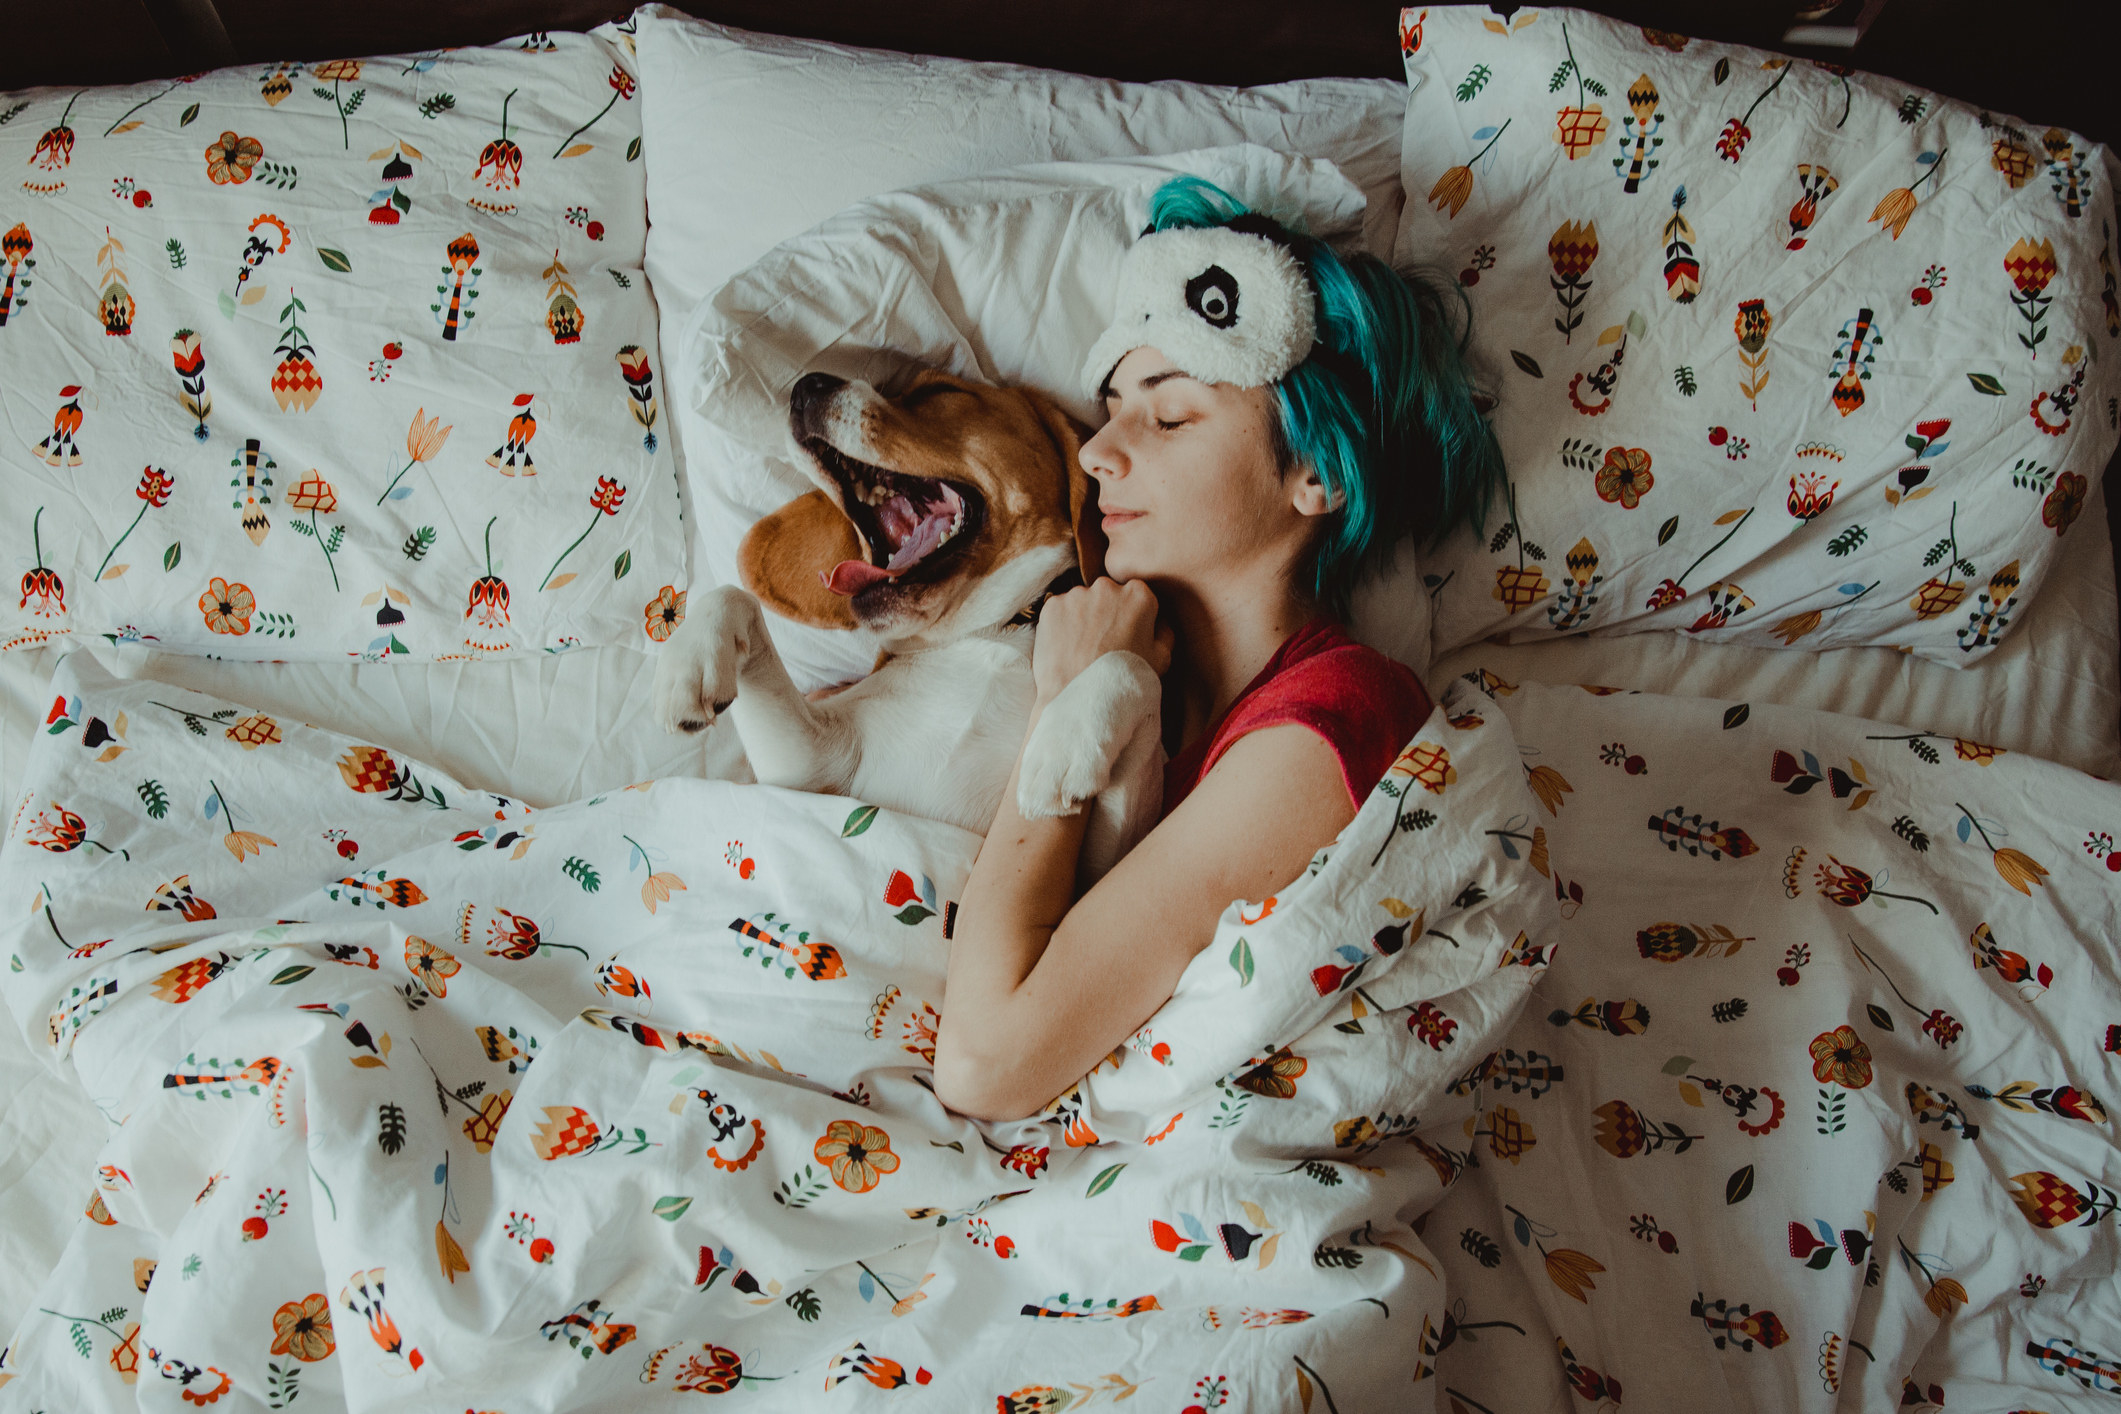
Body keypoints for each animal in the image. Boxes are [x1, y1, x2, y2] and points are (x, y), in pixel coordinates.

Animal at [653, 370, 1170, 877]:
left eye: (939, 391)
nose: (805, 386)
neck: (990, 635)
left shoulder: (1096, 867)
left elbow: (1135, 668)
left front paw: (1063, 745)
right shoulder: (808, 767)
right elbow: (733, 596)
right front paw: (687, 667)